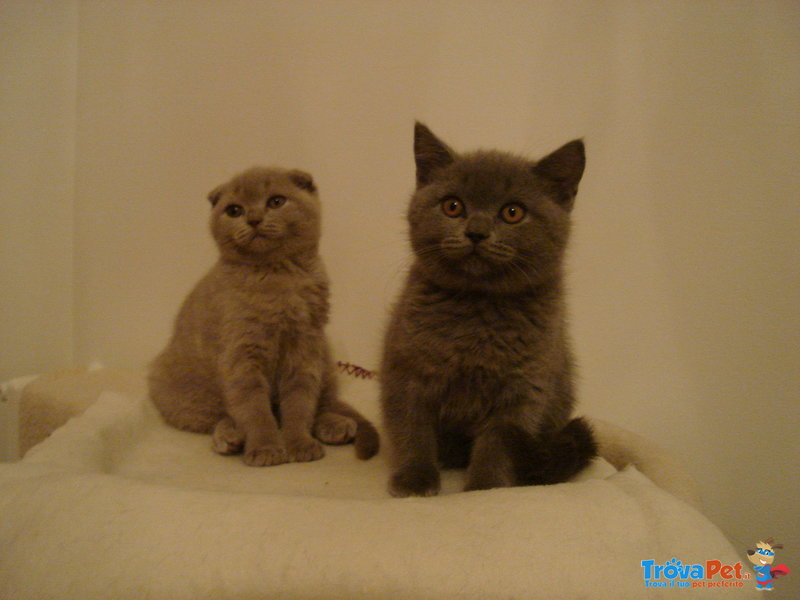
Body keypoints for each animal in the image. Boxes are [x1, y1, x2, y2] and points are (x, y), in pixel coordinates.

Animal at [151, 166, 382, 466]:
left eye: (276, 201)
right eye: (234, 210)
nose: (253, 219)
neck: (278, 276)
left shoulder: (304, 349)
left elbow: (300, 404)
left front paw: (299, 444)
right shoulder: (242, 355)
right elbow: (255, 410)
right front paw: (265, 448)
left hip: (325, 357)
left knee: (324, 402)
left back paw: (335, 426)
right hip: (183, 396)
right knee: (221, 416)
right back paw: (230, 438)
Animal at [380, 123, 592, 496]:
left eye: (513, 212)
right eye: (452, 206)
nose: (476, 232)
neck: (477, 308)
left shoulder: (524, 387)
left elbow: (498, 444)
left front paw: (486, 489)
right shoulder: (405, 368)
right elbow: (412, 427)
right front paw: (415, 479)